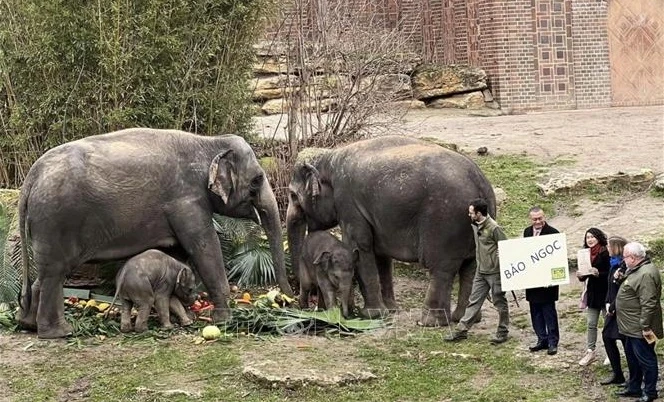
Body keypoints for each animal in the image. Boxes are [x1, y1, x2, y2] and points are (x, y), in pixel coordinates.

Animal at [16, 129, 292, 340]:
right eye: (257, 180)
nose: (288, 299)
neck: (209, 141)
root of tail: (30, 178)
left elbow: (177, 253)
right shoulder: (186, 201)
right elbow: (204, 247)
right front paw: (225, 320)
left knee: (45, 275)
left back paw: (29, 325)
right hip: (55, 221)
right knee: (55, 274)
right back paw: (60, 333)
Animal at [284, 137, 492, 326]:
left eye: (293, 195)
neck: (329, 156)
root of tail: (479, 182)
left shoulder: (348, 202)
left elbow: (360, 246)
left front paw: (370, 315)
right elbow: (380, 254)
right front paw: (390, 310)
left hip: (444, 221)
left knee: (441, 268)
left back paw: (429, 322)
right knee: (471, 267)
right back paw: (465, 319)